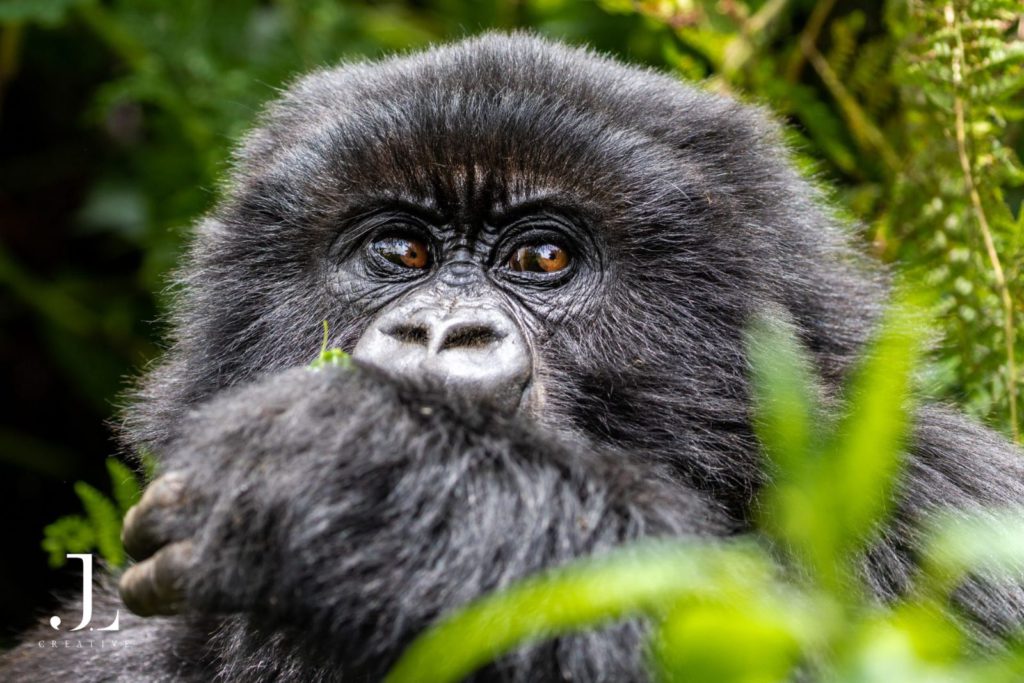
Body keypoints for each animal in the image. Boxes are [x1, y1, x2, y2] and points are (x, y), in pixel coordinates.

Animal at [3, 33, 1024, 682]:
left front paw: (367, 480)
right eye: (401, 251)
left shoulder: (949, 507)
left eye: (542, 259)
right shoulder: (95, 650)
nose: (438, 335)